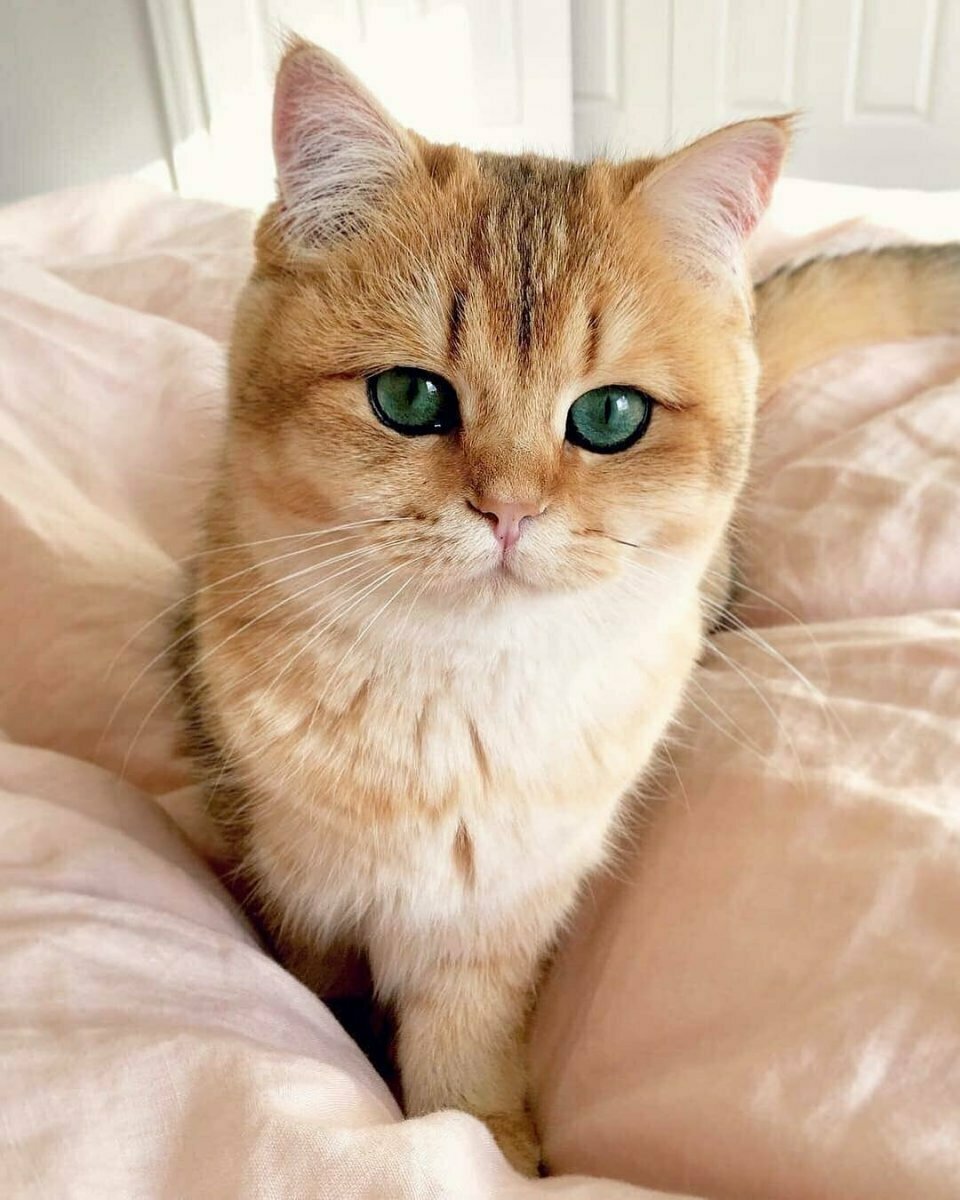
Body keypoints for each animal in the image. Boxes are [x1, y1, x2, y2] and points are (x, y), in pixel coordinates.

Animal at [173, 37, 960, 1176]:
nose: (509, 510)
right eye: (408, 397)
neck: (453, 712)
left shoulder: (499, 916)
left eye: (611, 416)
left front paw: (487, 1141)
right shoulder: (298, 889)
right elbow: (323, 997)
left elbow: (465, 1058)